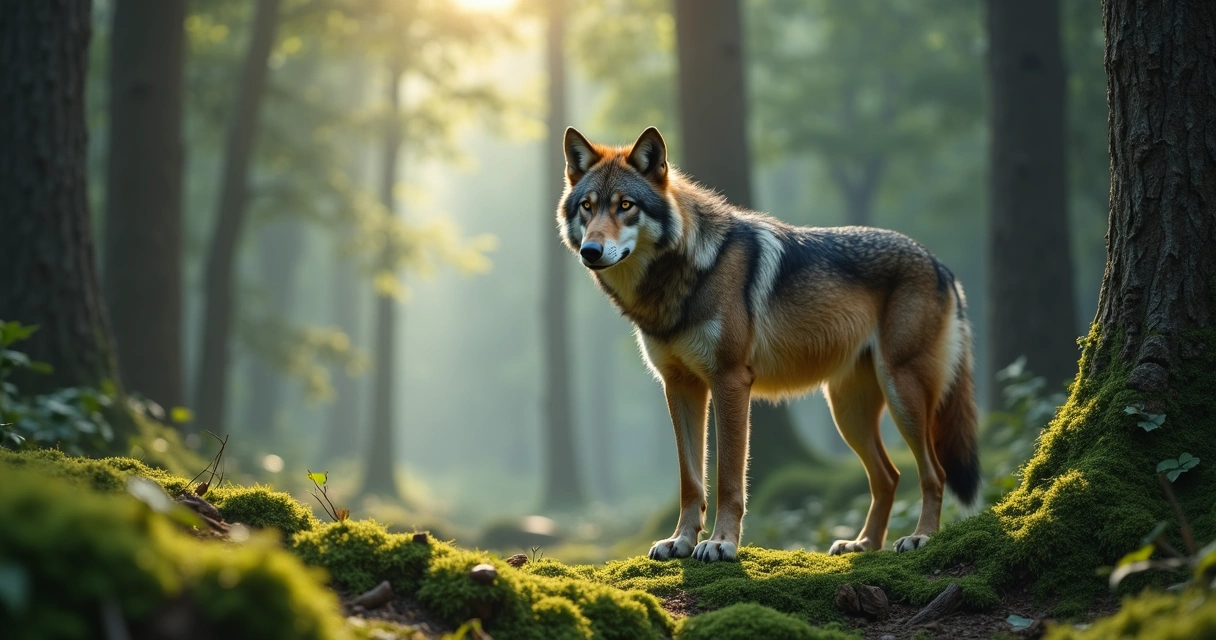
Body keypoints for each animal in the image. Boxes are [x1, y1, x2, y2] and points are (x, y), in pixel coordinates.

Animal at [555, 126, 979, 562]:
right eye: (588, 207)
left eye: (626, 205)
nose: (591, 250)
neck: (684, 275)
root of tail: (940, 265)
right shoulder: (679, 386)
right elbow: (690, 481)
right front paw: (680, 542)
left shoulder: (730, 381)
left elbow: (728, 479)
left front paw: (721, 543)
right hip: (848, 413)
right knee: (889, 477)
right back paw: (863, 544)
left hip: (900, 395)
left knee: (934, 473)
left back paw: (920, 537)